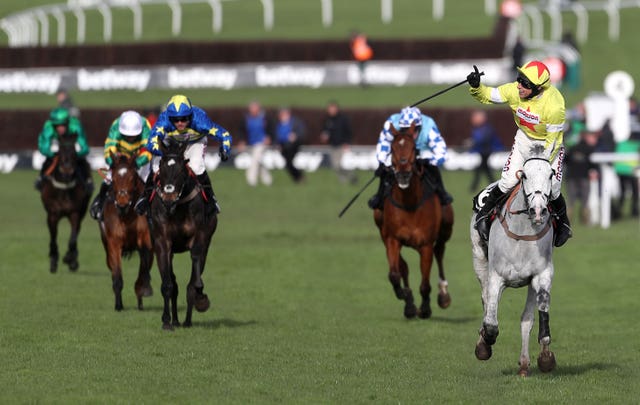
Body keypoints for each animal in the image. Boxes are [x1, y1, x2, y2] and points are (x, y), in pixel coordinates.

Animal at [39, 132, 91, 272]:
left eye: (74, 151)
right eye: (61, 150)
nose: (67, 170)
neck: (64, 188)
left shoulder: (74, 213)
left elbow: (72, 238)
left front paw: (70, 259)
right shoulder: (52, 214)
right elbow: (53, 238)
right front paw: (53, 260)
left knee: (77, 231)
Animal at [98, 152, 154, 310]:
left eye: (132, 177)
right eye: (114, 178)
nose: (122, 204)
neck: (126, 216)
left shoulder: (146, 240)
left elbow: (144, 268)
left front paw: (143, 289)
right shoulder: (114, 244)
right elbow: (117, 275)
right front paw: (118, 305)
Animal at [149, 139, 219, 328]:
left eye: (181, 169)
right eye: (161, 167)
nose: (168, 195)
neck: (177, 208)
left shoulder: (200, 237)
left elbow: (194, 278)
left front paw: (200, 298)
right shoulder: (162, 242)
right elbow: (168, 284)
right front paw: (166, 321)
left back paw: (186, 320)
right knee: (173, 282)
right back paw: (175, 320)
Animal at [370, 123, 456, 318]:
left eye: (413, 148)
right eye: (393, 148)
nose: (403, 174)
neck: (409, 203)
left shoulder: (425, 244)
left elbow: (425, 283)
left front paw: (425, 308)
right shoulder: (393, 239)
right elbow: (395, 274)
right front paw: (406, 297)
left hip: (445, 230)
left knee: (439, 252)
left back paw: (443, 295)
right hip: (383, 232)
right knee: (403, 266)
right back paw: (409, 304)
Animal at [468, 144, 556, 374]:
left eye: (551, 174)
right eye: (524, 175)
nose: (538, 210)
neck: (522, 234)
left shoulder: (541, 275)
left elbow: (534, 317)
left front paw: (545, 357)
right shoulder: (496, 277)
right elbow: (491, 322)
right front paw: (484, 344)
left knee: (526, 318)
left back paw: (524, 364)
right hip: (480, 260)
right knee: (486, 302)